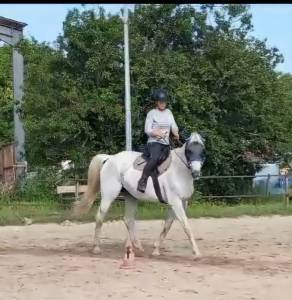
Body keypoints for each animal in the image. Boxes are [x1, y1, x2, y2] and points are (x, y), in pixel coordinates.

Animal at [72, 132, 206, 258]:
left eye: (202, 151)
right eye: (189, 151)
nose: (196, 173)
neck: (179, 170)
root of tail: (109, 158)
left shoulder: (182, 202)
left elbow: (167, 226)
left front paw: (156, 250)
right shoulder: (175, 202)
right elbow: (186, 226)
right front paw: (197, 253)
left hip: (131, 196)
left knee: (128, 219)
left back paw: (138, 248)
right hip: (109, 195)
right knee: (100, 217)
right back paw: (96, 248)